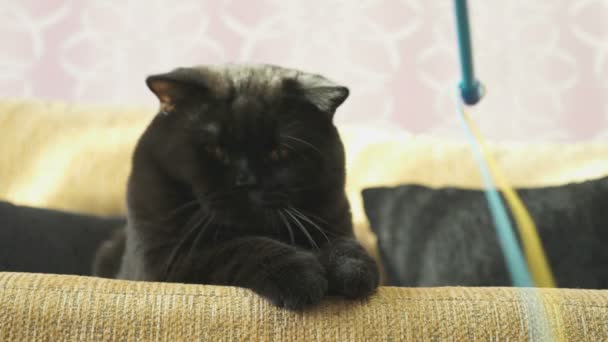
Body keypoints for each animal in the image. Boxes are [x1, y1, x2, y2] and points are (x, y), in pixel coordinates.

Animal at [94, 64, 380, 310]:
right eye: (215, 149)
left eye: (279, 151)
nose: (246, 180)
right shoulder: (163, 260)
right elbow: (240, 247)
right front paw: (304, 276)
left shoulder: (336, 221)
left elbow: (344, 245)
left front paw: (355, 271)